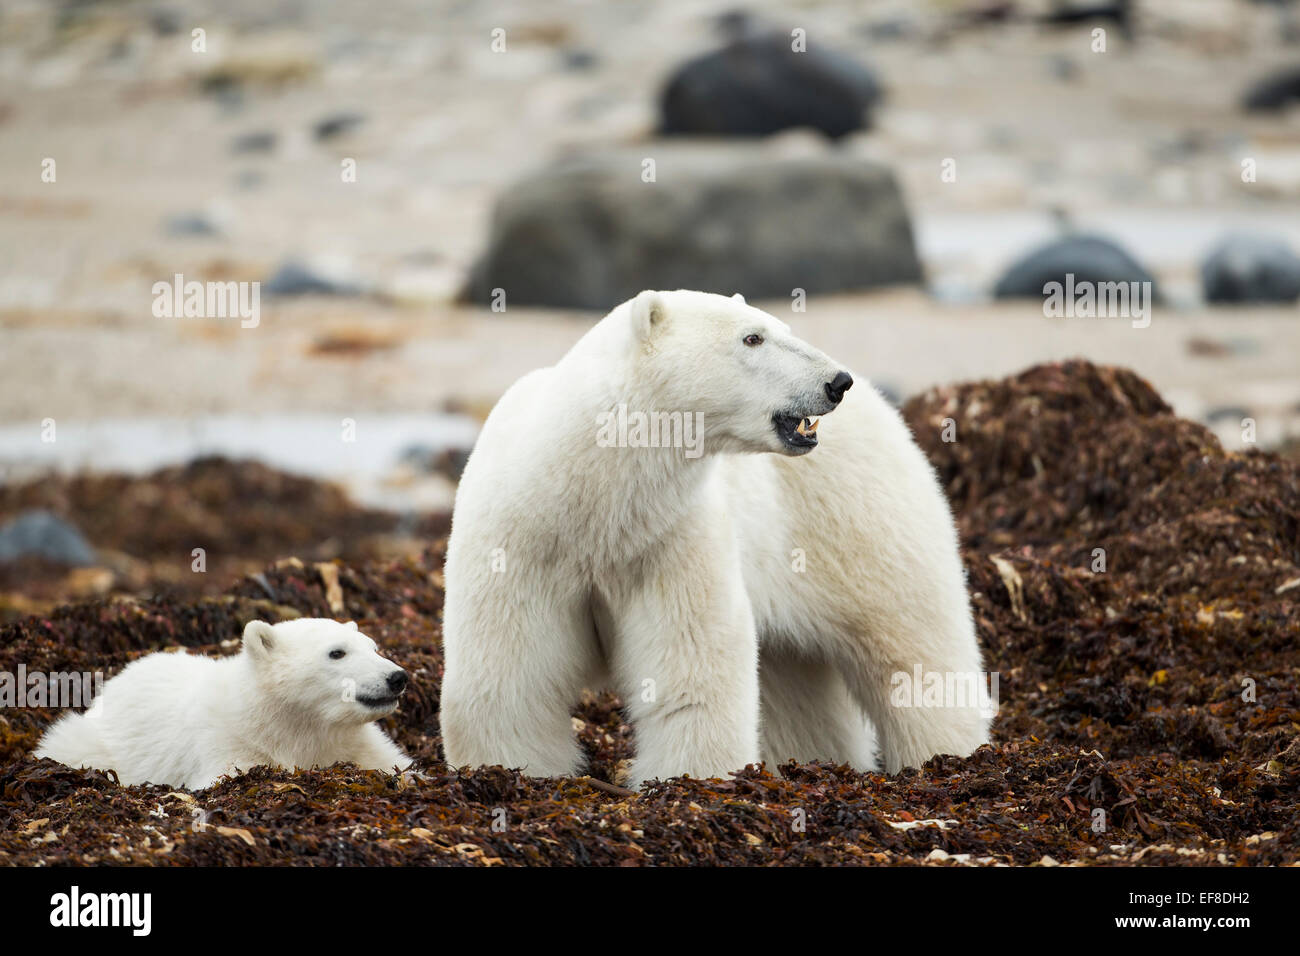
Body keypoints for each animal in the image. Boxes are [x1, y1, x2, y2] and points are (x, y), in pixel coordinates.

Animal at [441, 290, 987, 785]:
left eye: (781, 327)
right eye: (753, 337)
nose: (837, 381)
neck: (592, 502)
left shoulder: (671, 538)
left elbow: (691, 662)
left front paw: (690, 778)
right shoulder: (523, 544)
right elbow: (508, 672)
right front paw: (514, 768)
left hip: (855, 519)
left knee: (910, 640)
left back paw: (949, 756)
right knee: (797, 683)